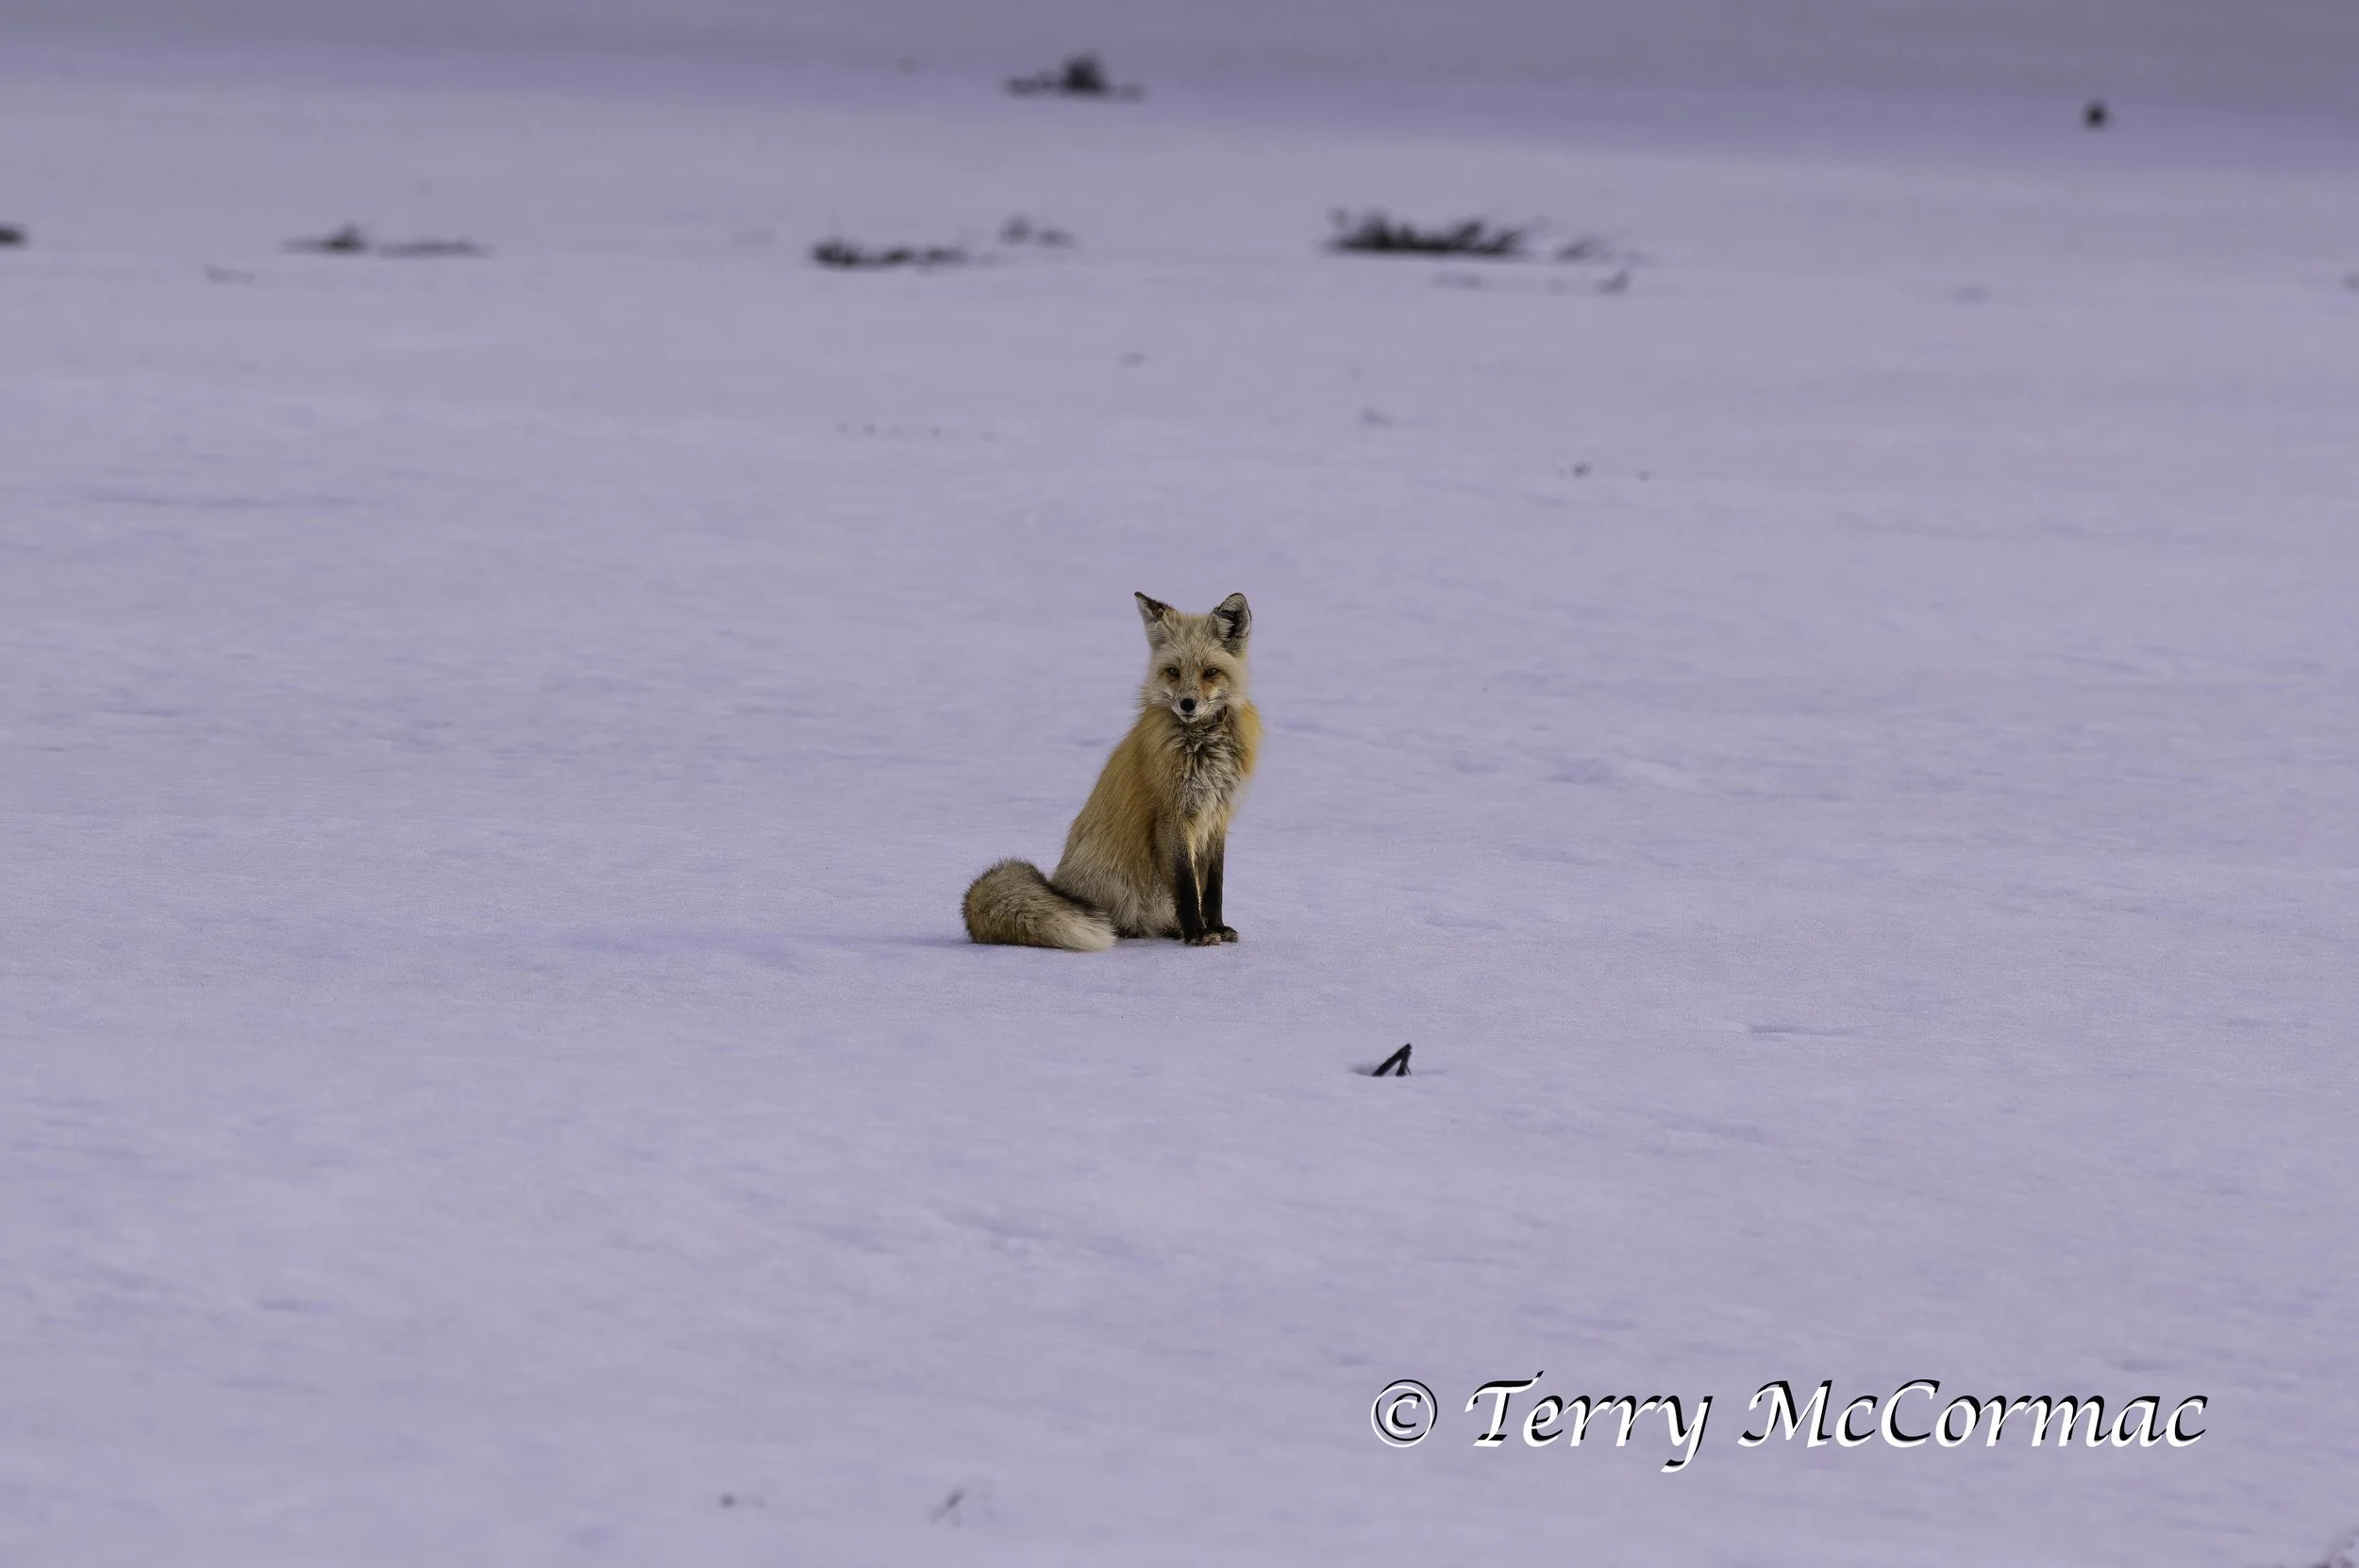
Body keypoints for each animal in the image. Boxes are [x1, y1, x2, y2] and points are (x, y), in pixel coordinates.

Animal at [964, 591, 1261, 951]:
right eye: (1173, 671)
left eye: (1210, 672)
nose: (1187, 704)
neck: (1203, 747)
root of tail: (1060, 887)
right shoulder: (1173, 816)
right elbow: (1189, 888)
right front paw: (1197, 933)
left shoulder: (1217, 816)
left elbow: (1213, 886)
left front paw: (1215, 926)